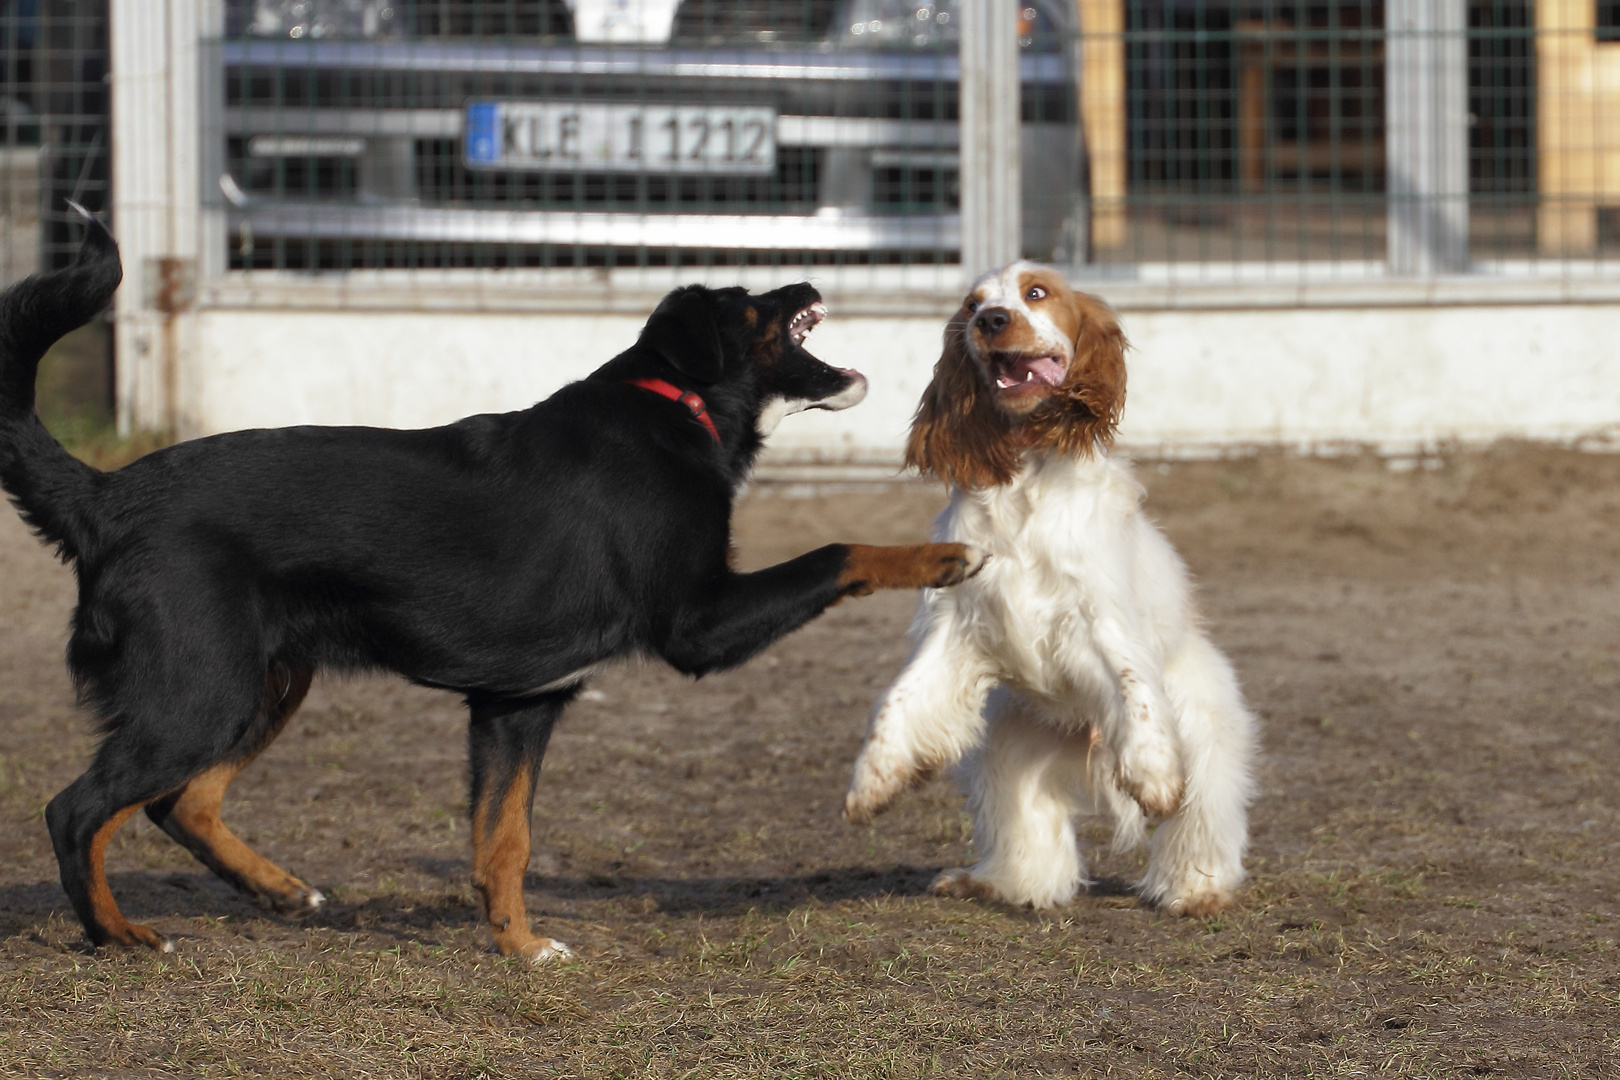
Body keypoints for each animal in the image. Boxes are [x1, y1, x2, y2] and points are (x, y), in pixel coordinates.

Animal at [0, 215, 978, 958]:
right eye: (749, 305)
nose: (806, 275)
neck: (680, 406)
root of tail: (106, 496)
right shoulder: (698, 627)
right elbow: (840, 550)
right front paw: (943, 558)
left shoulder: (516, 705)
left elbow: (502, 843)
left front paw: (519, 948)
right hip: (201, 691)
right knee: (77, 810)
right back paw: (118, 934)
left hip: (265, 682)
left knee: (182, 800)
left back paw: (279, 893)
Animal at [842, 265, 1257, 919]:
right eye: (972, 306)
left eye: (1035, 293)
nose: (991, 322)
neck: (1028, 474)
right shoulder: (958, 622)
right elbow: (898, 699)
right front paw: (873, 780)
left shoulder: (1099, 621)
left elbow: (1136, 697)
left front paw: (1153, 778)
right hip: (1007, 751)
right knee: (1028, 838)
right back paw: (996, 884)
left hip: (1207, 730)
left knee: (1200, 820)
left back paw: (1197, 891)